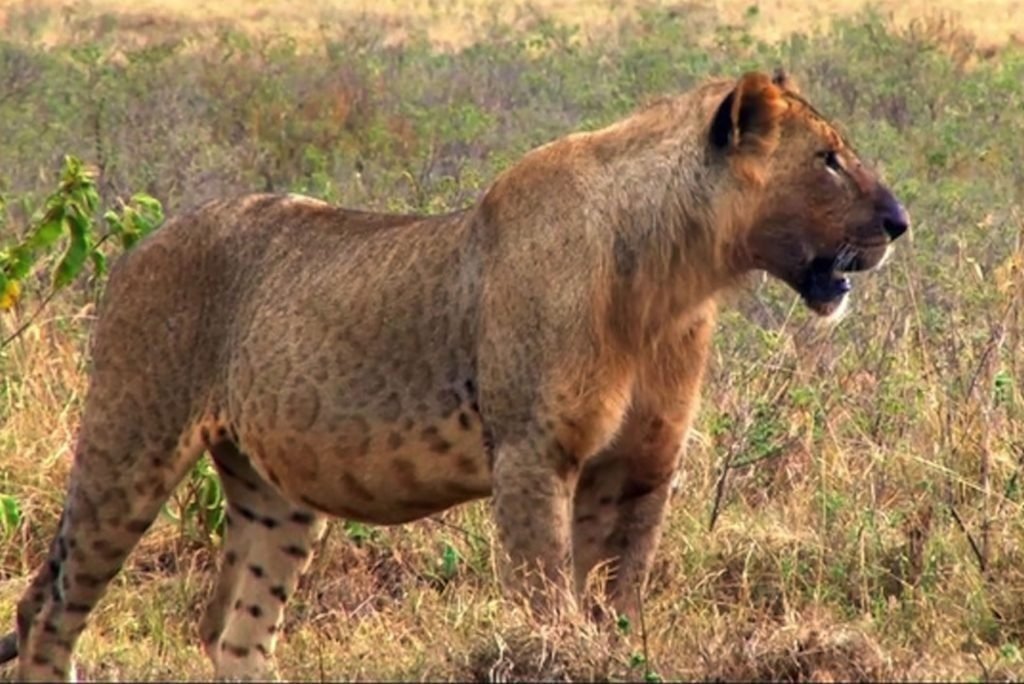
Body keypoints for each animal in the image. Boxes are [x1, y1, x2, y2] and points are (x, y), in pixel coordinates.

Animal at [4, 69, 909, 679]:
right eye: (829, 159)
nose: (901, 222)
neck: (675, 280)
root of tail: (139, 247)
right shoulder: (534, 454)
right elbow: (549, 599)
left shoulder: (641, 467)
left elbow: (616, 600)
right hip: (132, 442)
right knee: (49, 609)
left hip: (273, 492)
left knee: (235, 630)